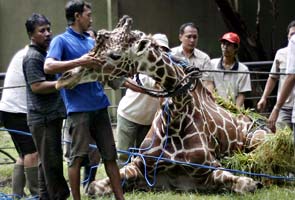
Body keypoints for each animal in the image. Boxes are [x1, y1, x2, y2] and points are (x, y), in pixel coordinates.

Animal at [82, 35, 272, 196]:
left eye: (115, 53)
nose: (87, 64)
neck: (175, 118)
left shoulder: (210, 168)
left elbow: (246, 184)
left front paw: (256, 182)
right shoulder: (141, 167)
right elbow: (93, 187)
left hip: (258, 137)